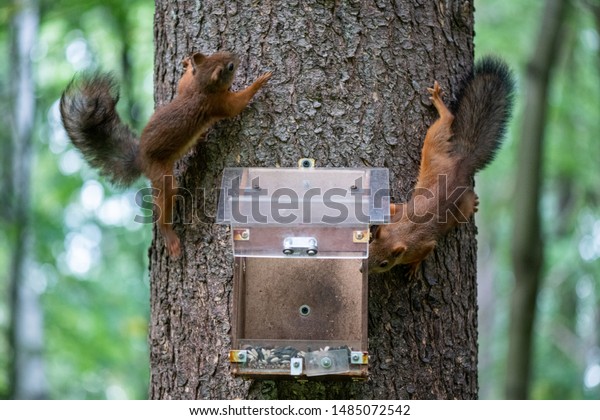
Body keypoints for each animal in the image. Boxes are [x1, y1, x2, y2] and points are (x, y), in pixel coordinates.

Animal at [60, 50, 272, 258]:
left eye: (219, 53)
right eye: (230, 66)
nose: (237, 56)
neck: (202, 88)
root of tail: (141, 159)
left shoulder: (188, 88)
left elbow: (182, 83)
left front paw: (188, 63)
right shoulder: (217, 104)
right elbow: (236, 105)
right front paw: (259, 82)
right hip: (161, 174)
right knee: (165, 200)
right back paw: (168, 235)